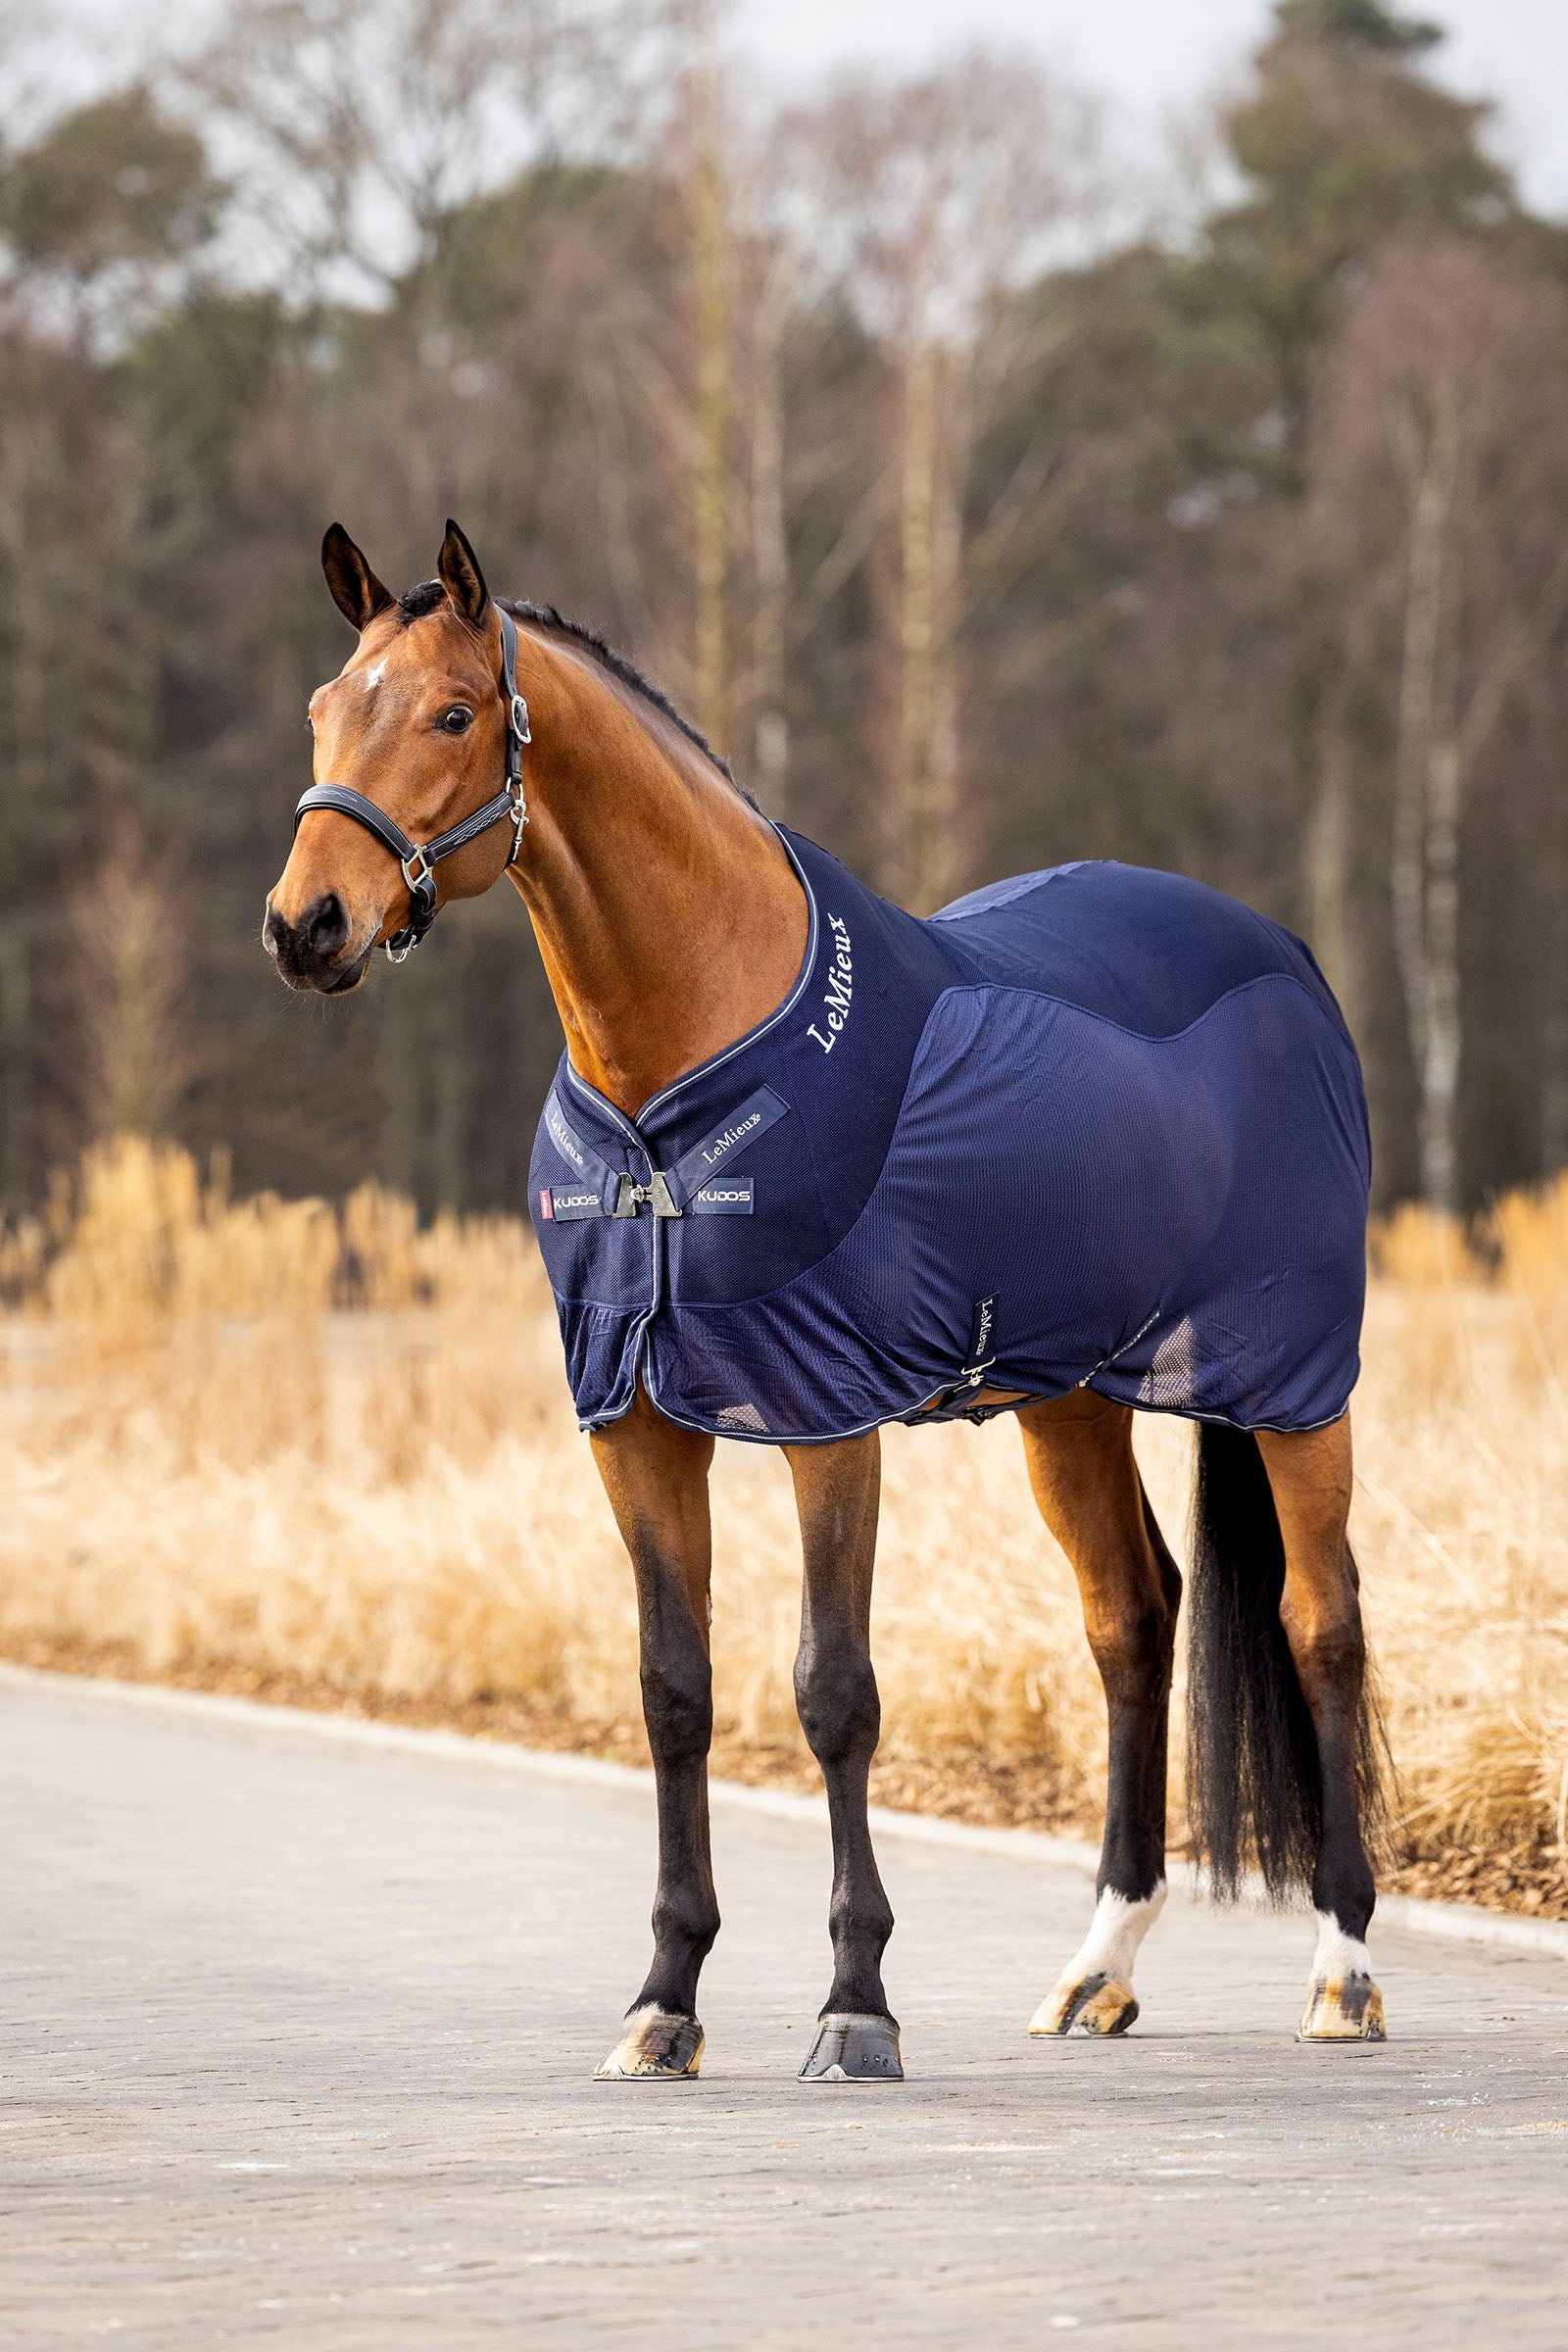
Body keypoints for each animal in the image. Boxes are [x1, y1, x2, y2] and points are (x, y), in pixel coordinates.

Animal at [265, 518, 1388, 2082]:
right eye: (324, 707)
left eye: (449, 712)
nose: (304, 925)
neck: (681, 1075)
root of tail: (1284, 960)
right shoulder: (635, 1424)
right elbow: (673, 1691)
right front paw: (664, 1999)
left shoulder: (823, 1416)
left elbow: (832, 1691)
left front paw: (856, 2002)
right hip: (1072, 1402)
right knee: (1132, 1619)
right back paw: (1096, 1970)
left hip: (1296, 1381)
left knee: (1322, 1625)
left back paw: (1341, 1973)